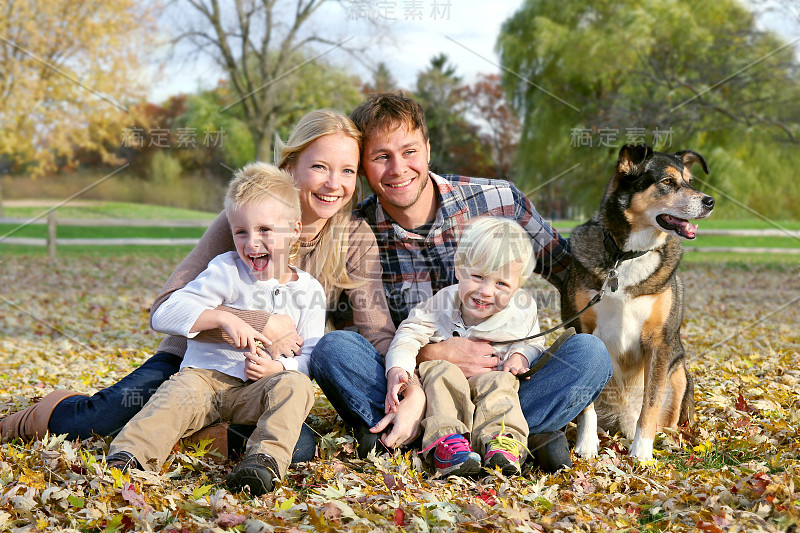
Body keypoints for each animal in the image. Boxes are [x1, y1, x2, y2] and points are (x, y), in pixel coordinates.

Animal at [564, 143, 716, 460]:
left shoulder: (658, 340)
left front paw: (642, 453)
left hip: (679, 371)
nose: (710, 201)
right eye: (668, 182)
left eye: (690, 182)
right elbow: (586, 406)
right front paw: (586, 444)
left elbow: (651, 402)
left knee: (668, 421)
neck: (628, 255)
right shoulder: (583, 331)